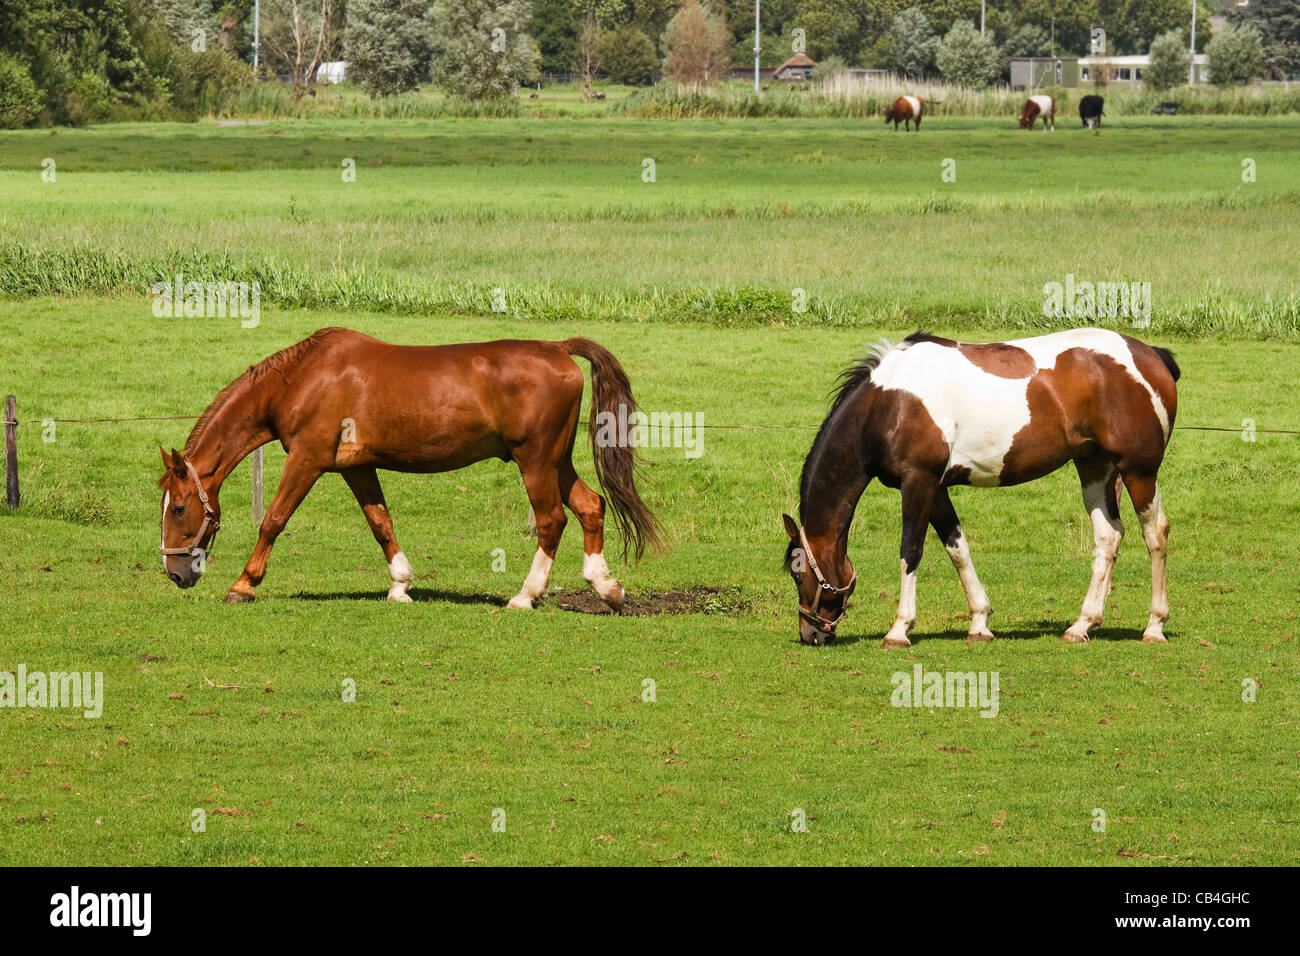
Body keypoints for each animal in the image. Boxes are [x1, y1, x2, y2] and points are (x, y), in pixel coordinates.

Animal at [158, 329, 660, 608]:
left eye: (179, 508)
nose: (175, 573)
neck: (301, 378)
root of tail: (557, 348)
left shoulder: (307, 460)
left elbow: (274, 520)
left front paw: (243, 584)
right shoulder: (357, 469)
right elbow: (381, 523)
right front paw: (400, 585)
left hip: (534, 460)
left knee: (552, 520)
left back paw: (526, 595)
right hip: (556, 461)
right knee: (591, 506)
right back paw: (606, 587)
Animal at [780, 329, 1180, 650]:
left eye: (798, 575)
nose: (810, 634)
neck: (889, 404)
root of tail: (1151, 355)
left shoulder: (918, 482)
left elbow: (911, 551)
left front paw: (899, 629)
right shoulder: (937, 489)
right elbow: (957, 549)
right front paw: (979, 622)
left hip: (1139, 472)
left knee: (1155, 534)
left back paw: (1154, 626)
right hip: (1094, 467)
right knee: (1108, 537)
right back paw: (1082, 625)